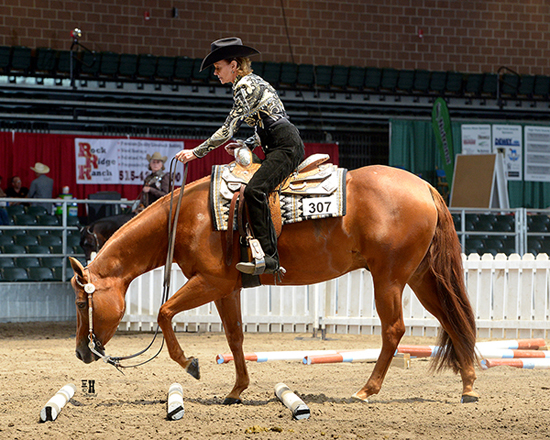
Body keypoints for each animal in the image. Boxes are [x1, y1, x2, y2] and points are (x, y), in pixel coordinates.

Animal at [70, 166, 484, 406]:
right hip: (420, 277)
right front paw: (236, 390)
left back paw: (367, 390)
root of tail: (426, 188)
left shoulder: (210, 281)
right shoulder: (227, 288)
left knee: (394, 330)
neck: (188, 217)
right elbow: (235, 337)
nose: (81, 352)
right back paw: (468, 387)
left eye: (80, 302)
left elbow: (164, 312)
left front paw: (191, 364)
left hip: (390, 279)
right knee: (452, 320)